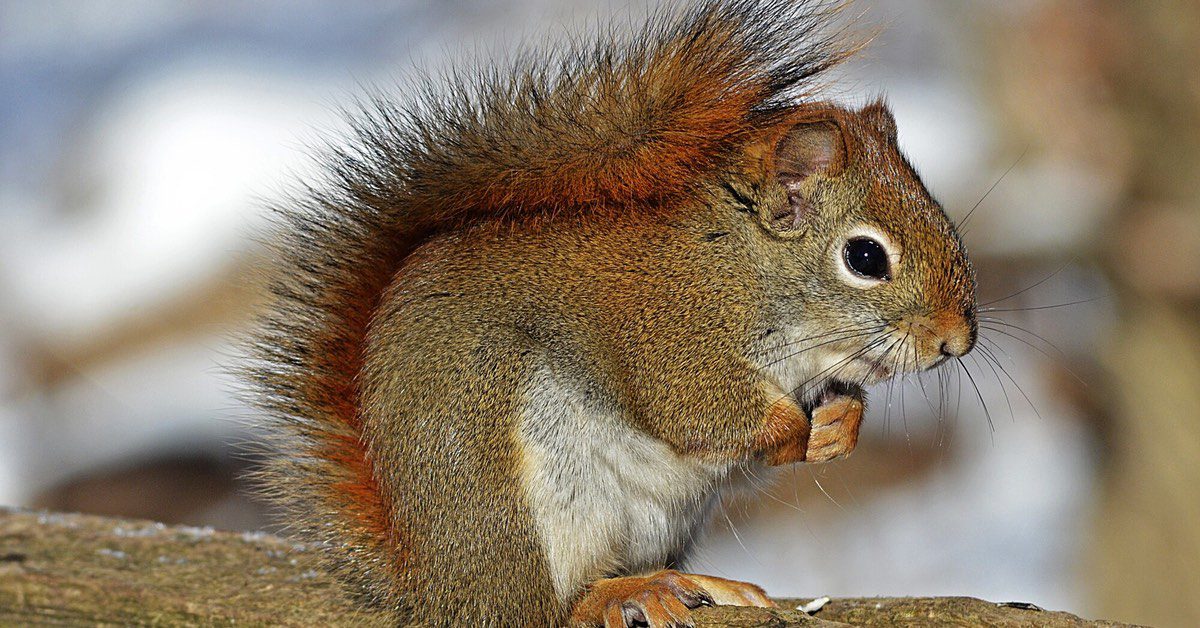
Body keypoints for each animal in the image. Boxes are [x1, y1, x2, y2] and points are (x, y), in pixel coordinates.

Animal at [245, 0, 978, 626]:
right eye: (865, 256)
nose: (957, 341)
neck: (743, 266)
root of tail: (431, 587)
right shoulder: (671, 332)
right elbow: (701, 412)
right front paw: (796, 430)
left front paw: (840, 426)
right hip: (517, 503)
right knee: (550, 607)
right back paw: (626, 592)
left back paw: (695, 583)